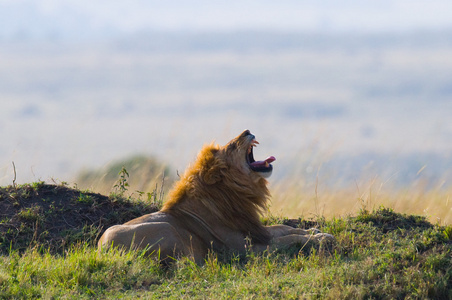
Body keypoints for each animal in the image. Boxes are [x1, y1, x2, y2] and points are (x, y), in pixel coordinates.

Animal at [98, 130, 332, 264]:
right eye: (231, 146)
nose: (247, 130)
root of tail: (102, 249)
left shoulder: (256, 230)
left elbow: (283, 228)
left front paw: (315, 230)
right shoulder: (246, 248)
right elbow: (287, 239)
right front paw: (320, 238)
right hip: (168, 230)